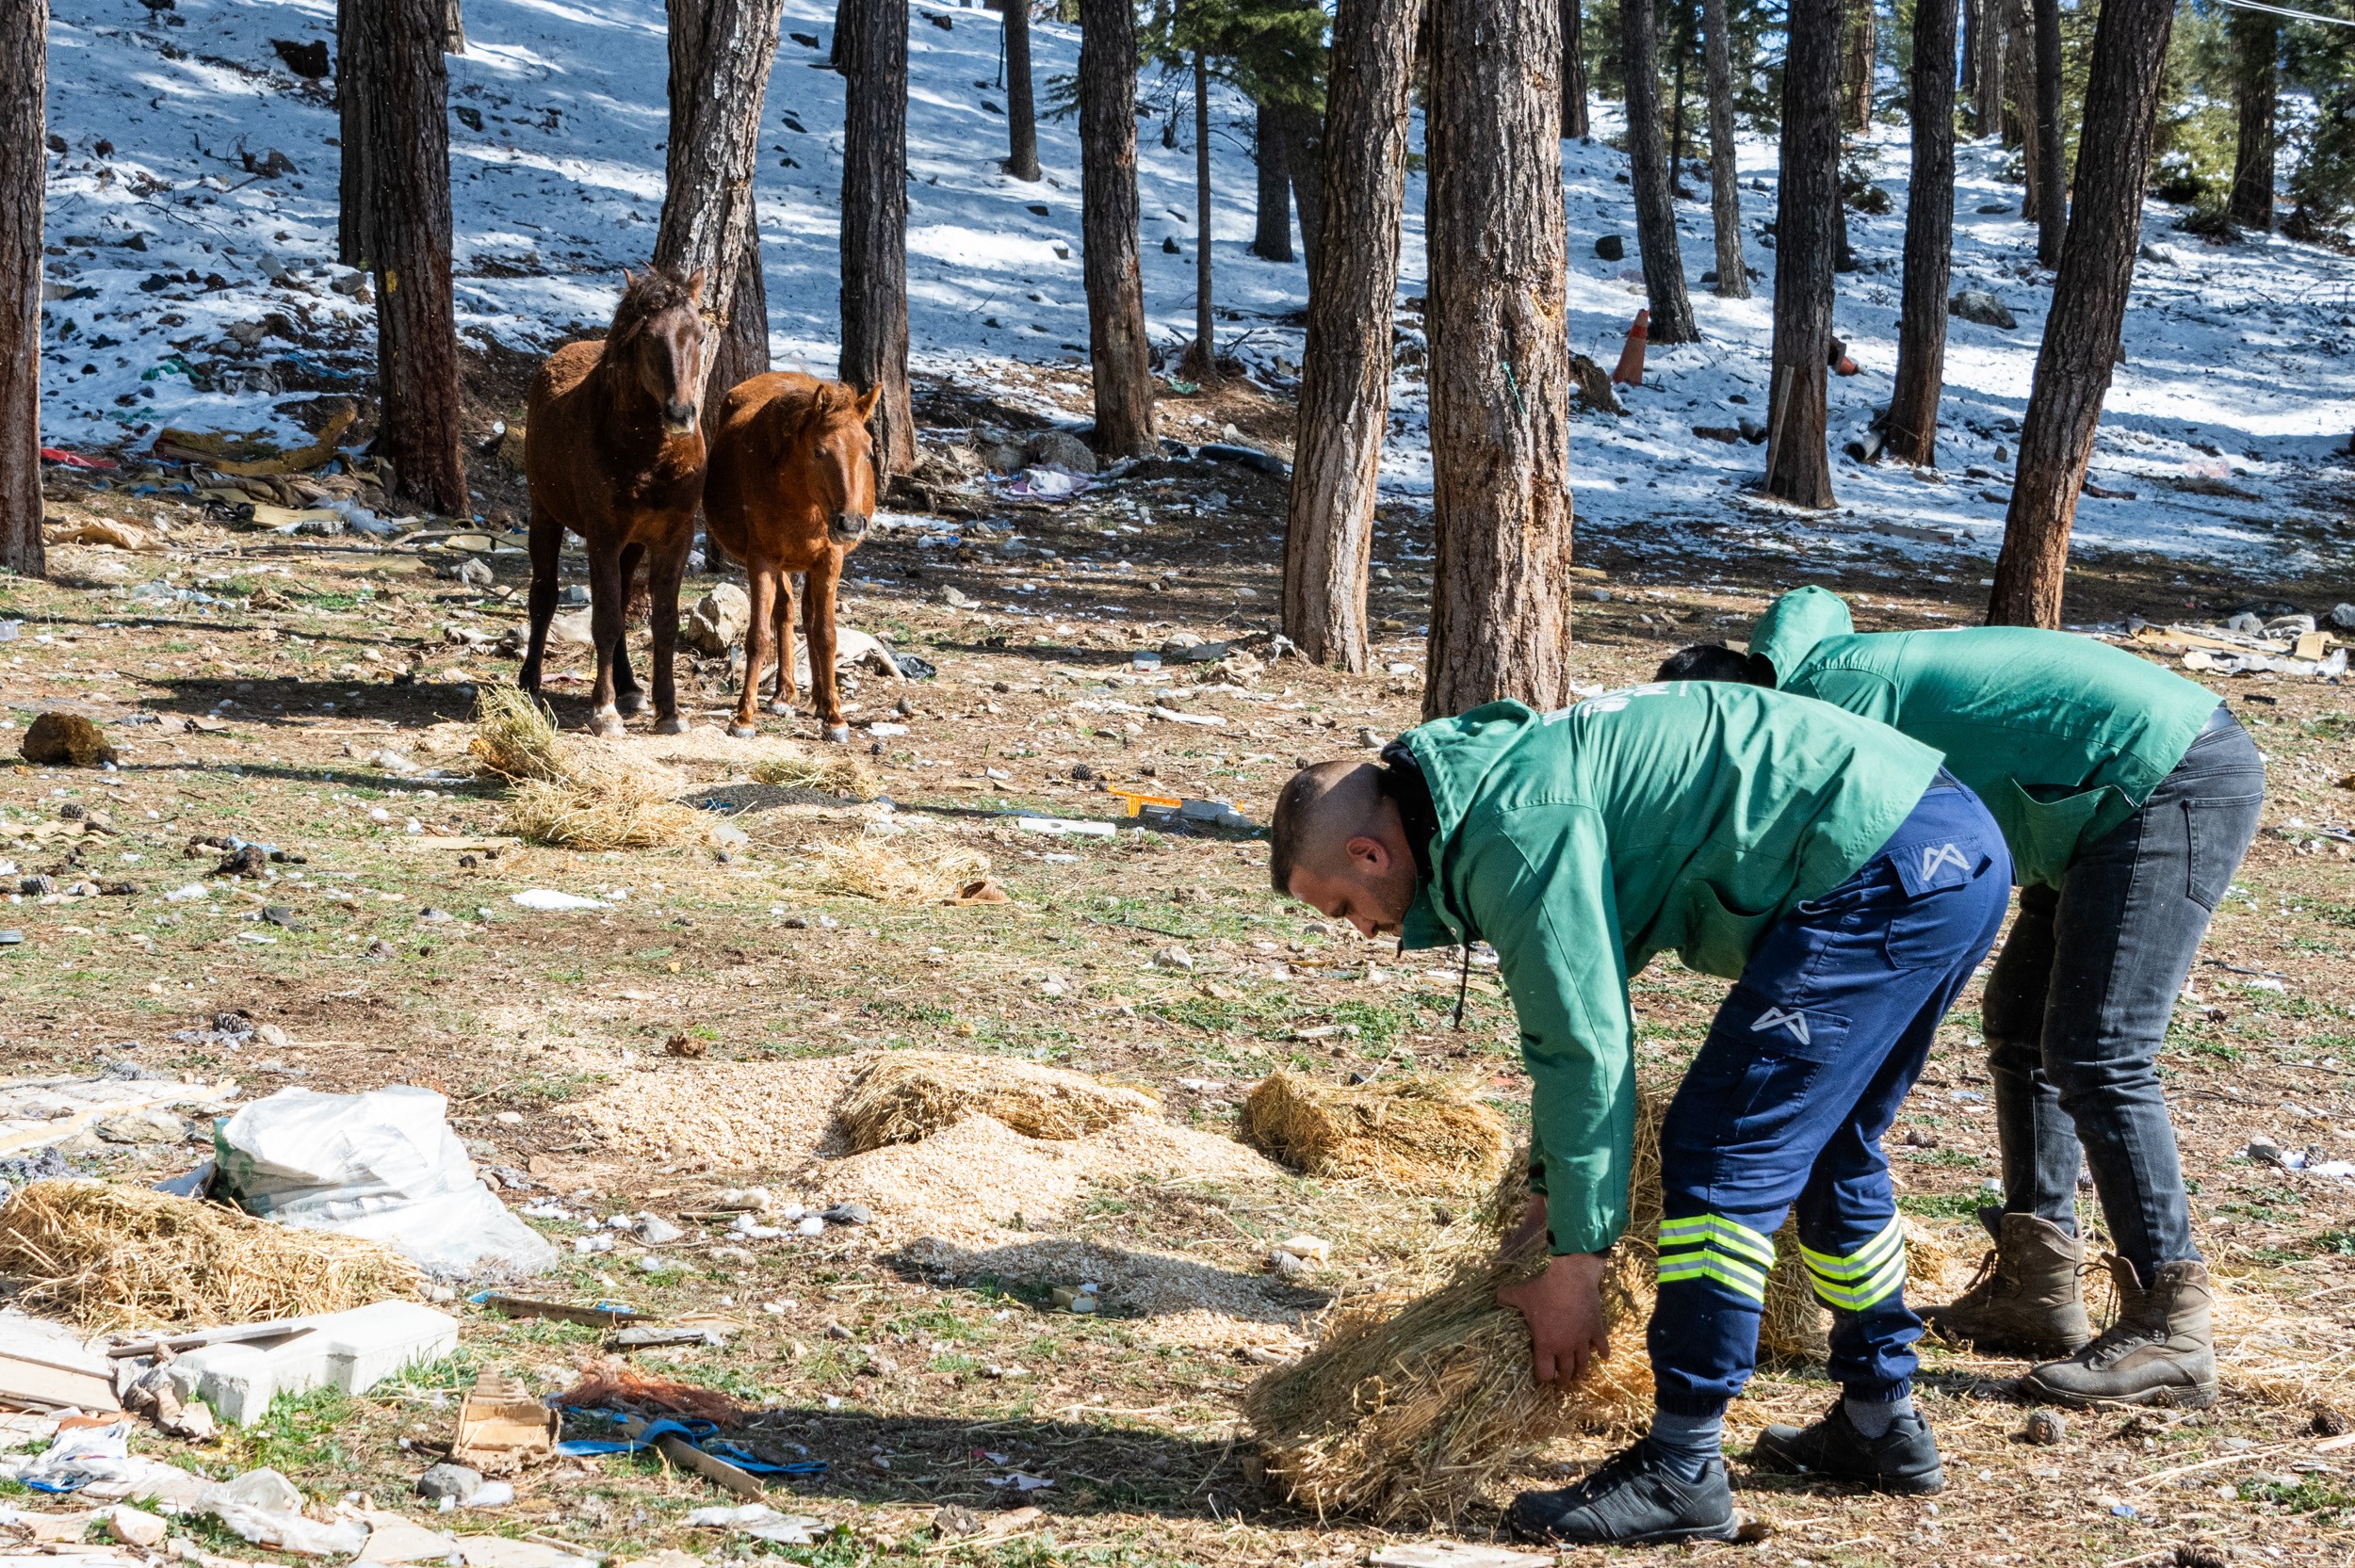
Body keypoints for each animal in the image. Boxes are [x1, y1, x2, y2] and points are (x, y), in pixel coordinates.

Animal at [515, 266, 697, 735]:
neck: (648, 455)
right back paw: (529, 682)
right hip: (545, 515)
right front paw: (604, 711)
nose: (680, 414)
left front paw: (669, 711)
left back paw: (630, 686)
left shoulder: (674, 538)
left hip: (631, 546)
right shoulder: (603, 536)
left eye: (700, 334)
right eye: (648, 338)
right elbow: (607, 619)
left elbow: (663, 621)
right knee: (544, 595)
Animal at [702, 379, 885, 744]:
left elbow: (826, 634)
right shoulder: (762, 561)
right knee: (785, 612)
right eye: (819, 451)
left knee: (808, 616)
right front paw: (743, 717)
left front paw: (835, 717)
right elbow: (759, 636)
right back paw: (783, 693)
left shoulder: (829, 560)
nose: (850, 523)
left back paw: (818, 698)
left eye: (869, 452)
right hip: (782, 566)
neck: (801, 499)